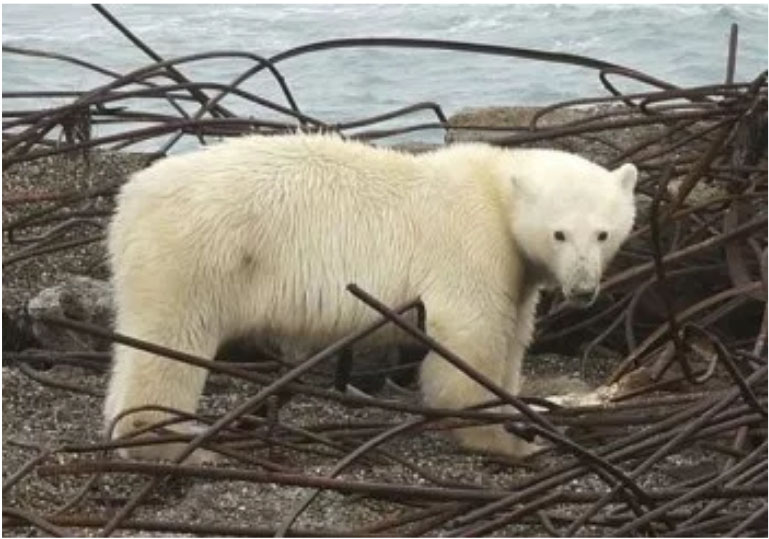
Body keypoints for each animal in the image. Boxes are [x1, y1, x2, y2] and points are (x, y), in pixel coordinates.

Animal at [104, 134, 637, 461]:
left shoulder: (516, 269)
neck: (494, 187)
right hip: (197, 256)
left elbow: (513, 332)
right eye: (560, 233)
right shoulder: (469, 240)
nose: (583, 289)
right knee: (171, 345)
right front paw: (501, 439)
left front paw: (516, 413)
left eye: (604, 234)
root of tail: (130, 200)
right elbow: (470, 333)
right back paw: (166, 440)